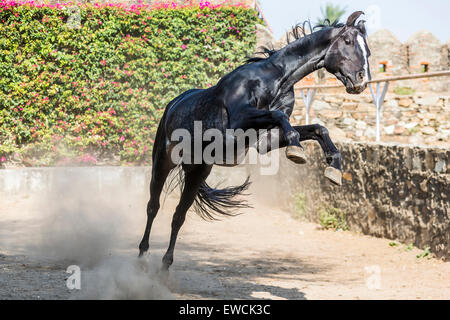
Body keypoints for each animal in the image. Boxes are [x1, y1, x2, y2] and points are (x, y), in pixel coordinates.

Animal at [139, 11, 370, 270]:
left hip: (197, 172)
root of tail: (172, 104)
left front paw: (334, 169)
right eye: (348, 42)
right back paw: (142, 255)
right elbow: (282, 118)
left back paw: (166, 263)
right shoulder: (238, 124)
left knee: (178, 216)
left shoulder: (265, 140)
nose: (361, 81)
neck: (273, 80)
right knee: (153, 206)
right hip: (162, 162)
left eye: (368, 51)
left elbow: (318, 129)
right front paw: (297, 151)